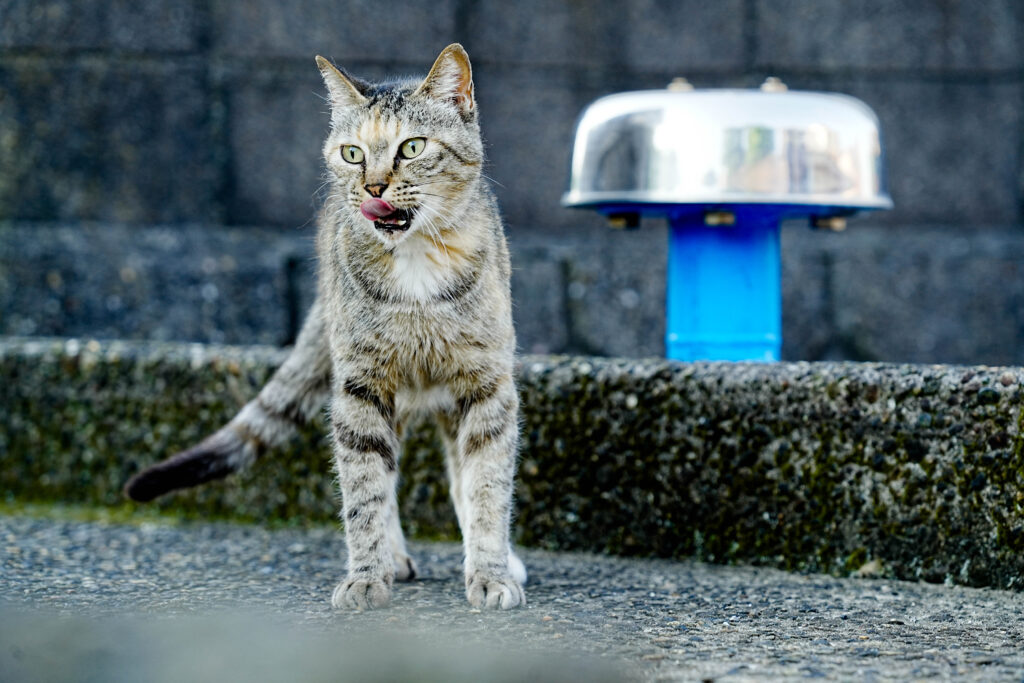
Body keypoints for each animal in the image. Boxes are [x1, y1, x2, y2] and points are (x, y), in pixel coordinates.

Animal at [125, 44, 526, 610]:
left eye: (412, 147)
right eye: (353, 154)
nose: (373, 186)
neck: (417, 267)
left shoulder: (486, 383)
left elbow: (486, 485)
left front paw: (491, 572)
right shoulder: (360, 385)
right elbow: (364, 490)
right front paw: (367, 576)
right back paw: (393, 558)